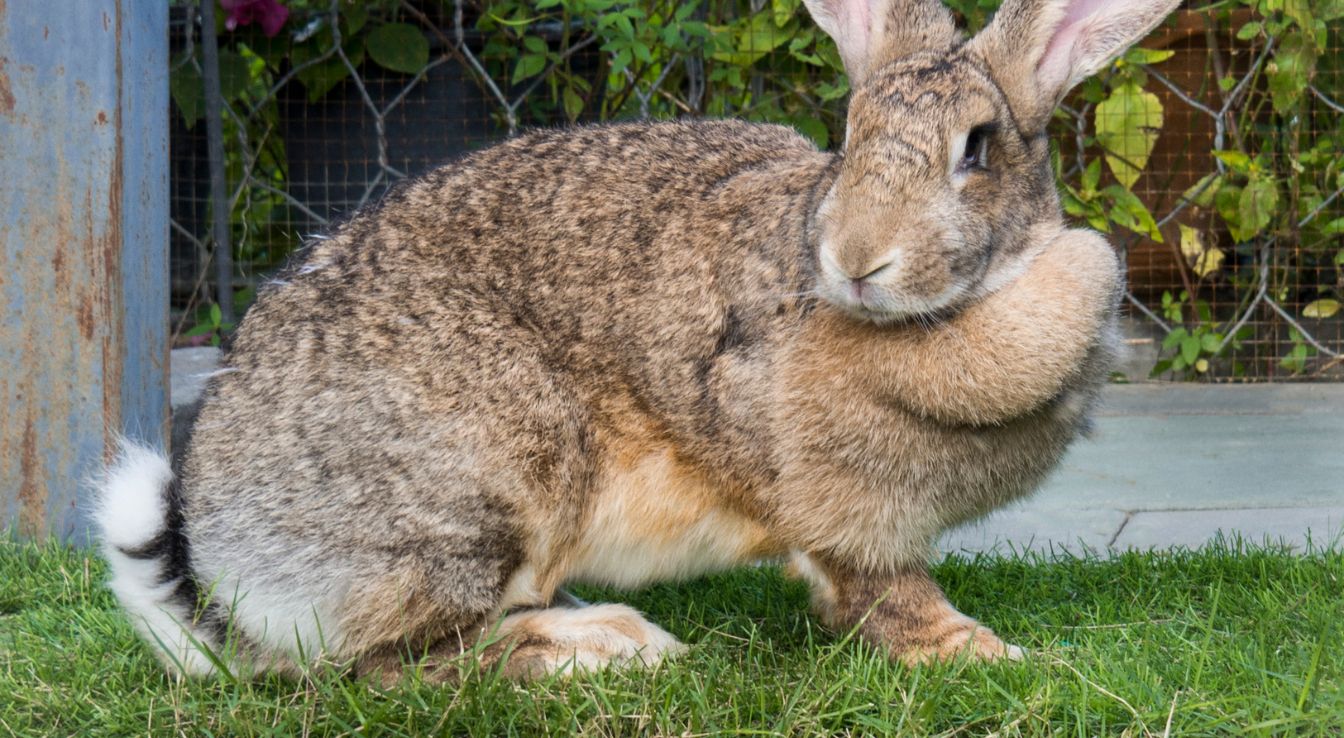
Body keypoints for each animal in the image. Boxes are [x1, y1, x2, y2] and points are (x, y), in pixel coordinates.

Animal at [97, 0, 1178, 681]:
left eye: (978, 149)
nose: (856, 259)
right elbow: (884, 593)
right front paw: (987, 655)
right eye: (850, 133)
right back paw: (603, 651)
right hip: (483, 487)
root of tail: (225, 557)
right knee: (396, 667)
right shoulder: (841, 507)